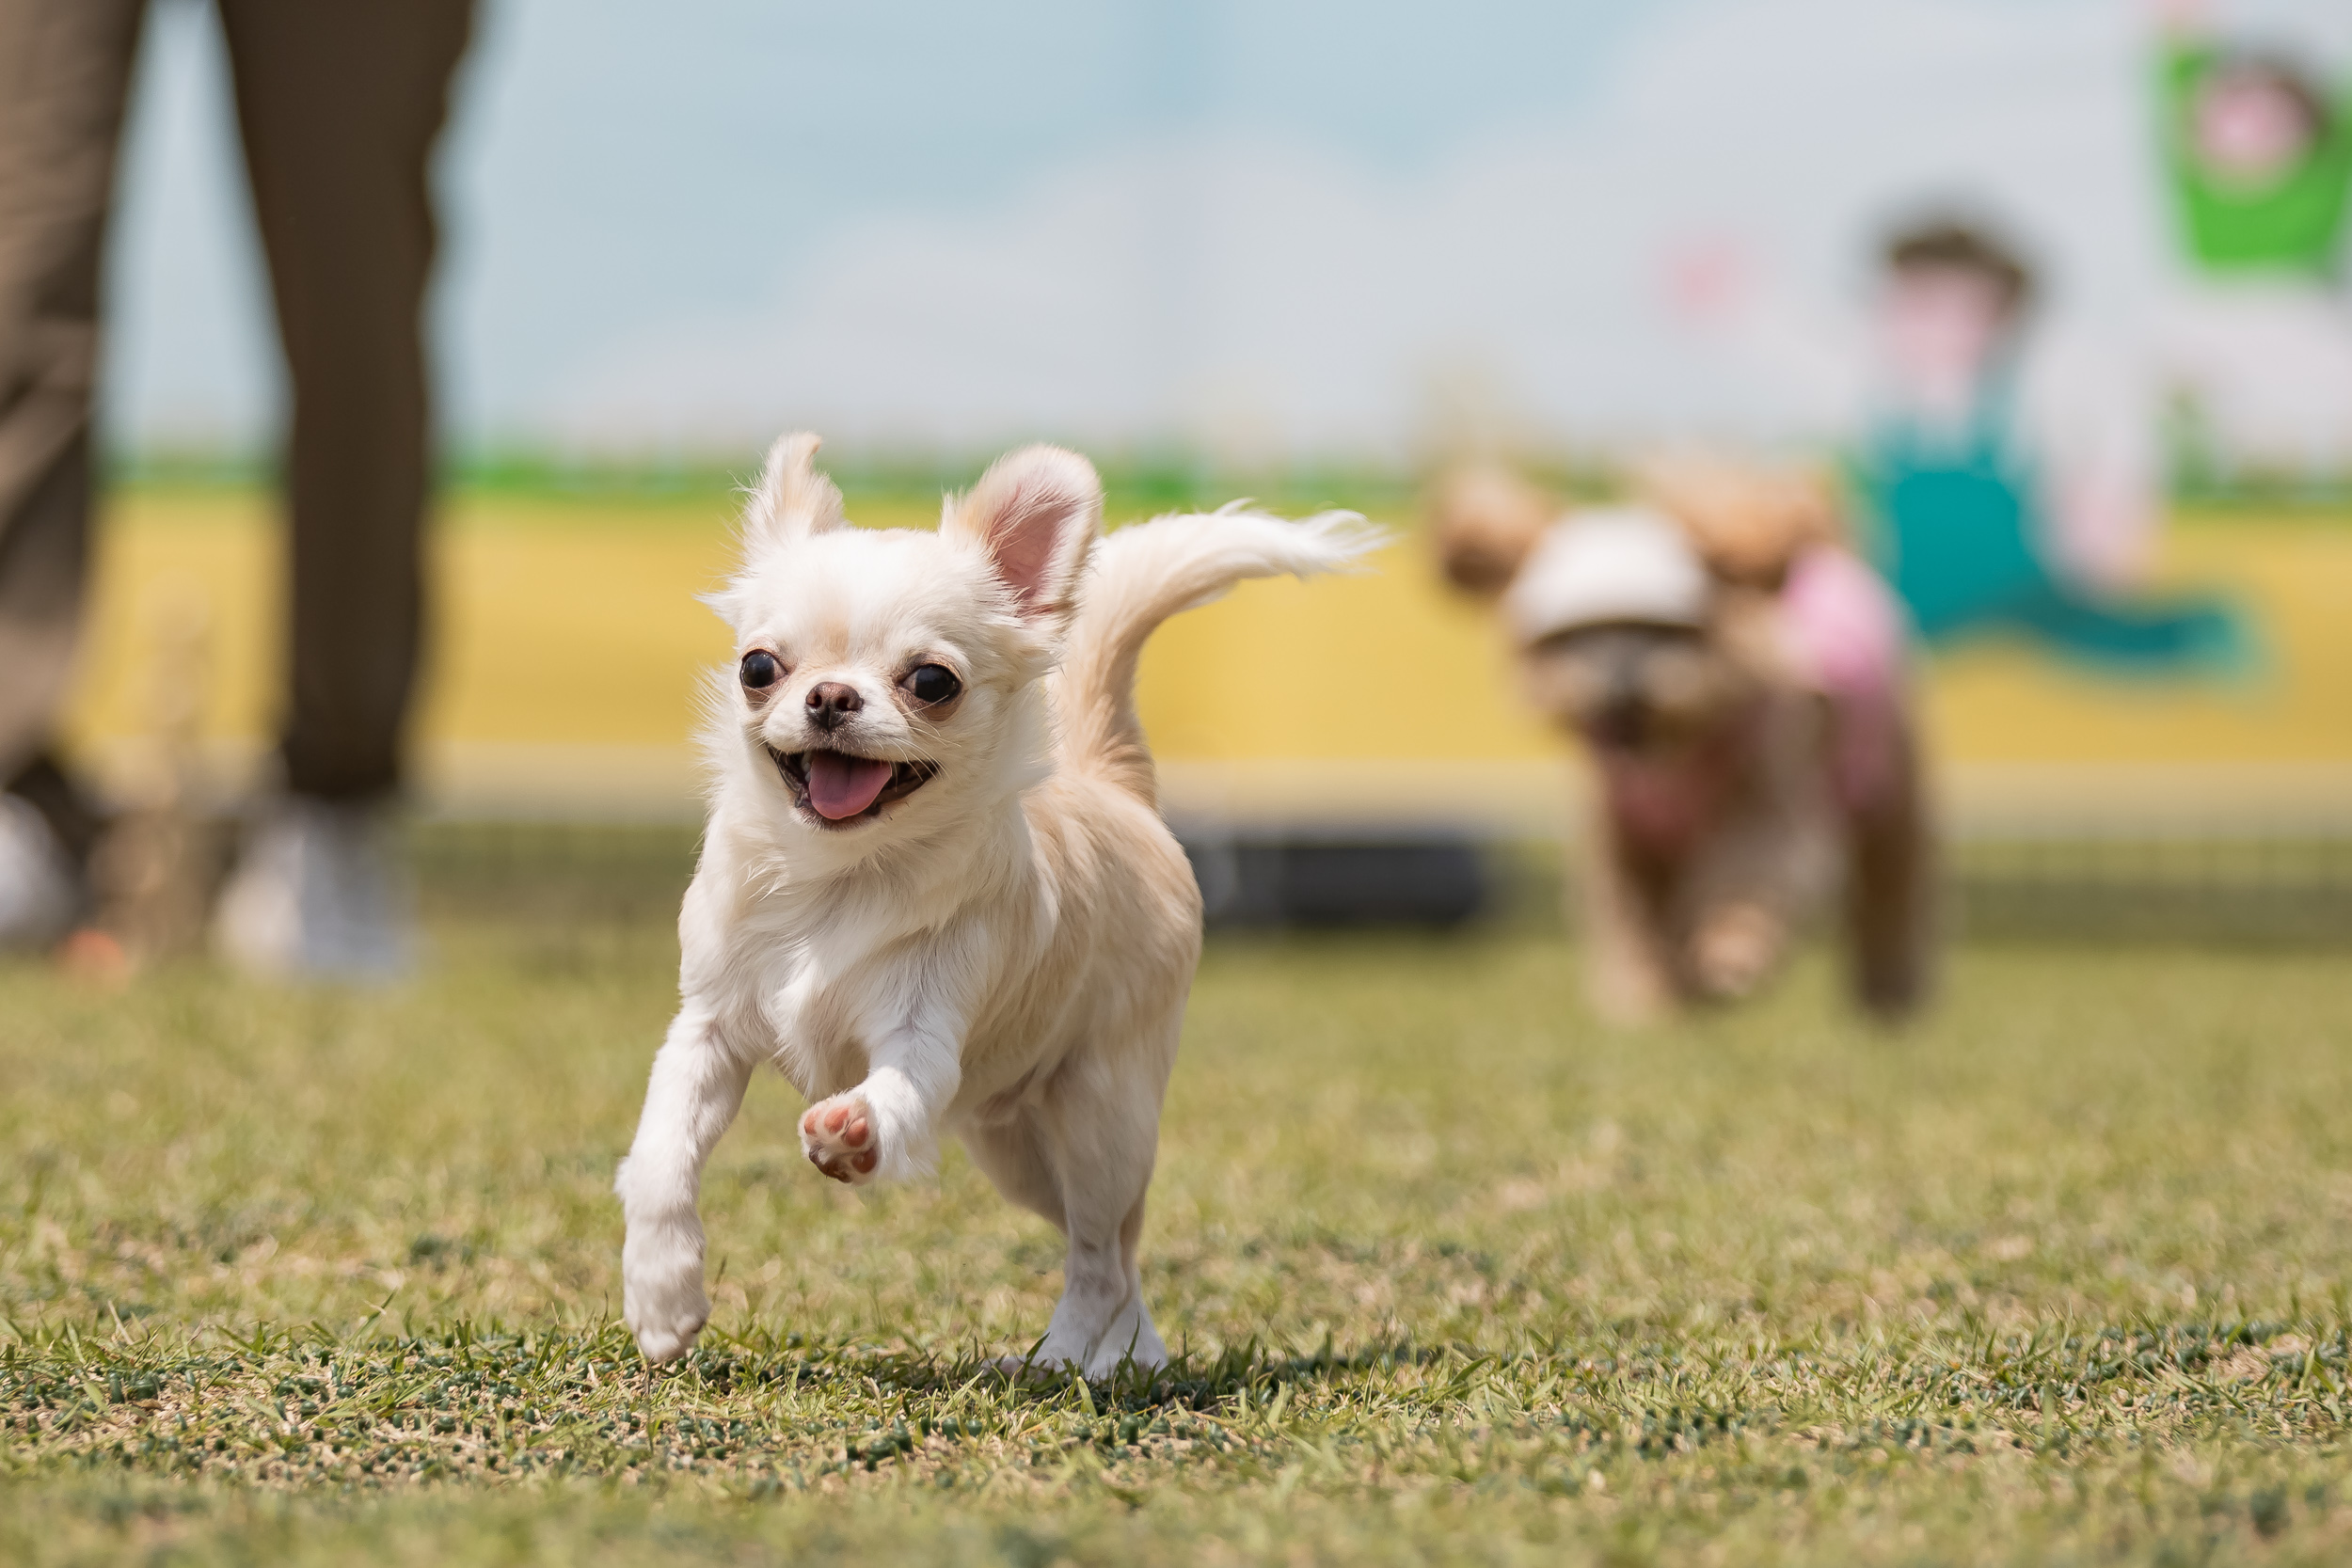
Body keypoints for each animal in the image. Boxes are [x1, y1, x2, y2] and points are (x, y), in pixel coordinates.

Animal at [616, 432, 1374, 1372]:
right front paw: (661, 1296)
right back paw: (1135, 1356)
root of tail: (1112, 781)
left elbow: (896, 1090)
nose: (829, 696)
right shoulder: (709, 1031)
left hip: (1101, 1117)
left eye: (931, 681)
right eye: (759, 668)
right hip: (1014, 1147)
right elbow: (660, 1158)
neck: (840, 878)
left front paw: (855, 1128)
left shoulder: (923, 1033)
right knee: (1115, 1248)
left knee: (1102, 1251)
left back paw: (1063, 1362)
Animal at [1430, 460, 1929, 1024]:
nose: (1621, 688)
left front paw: (1729, 954)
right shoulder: (1620, 842)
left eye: (1664, 630)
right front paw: (1643, 999)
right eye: (1575, 637)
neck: (1671, 756)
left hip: (1893, 800)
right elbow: (1632, 921)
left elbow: (1748, 879)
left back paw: (1889, 997)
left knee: (1893, 899)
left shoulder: (1767, 809)